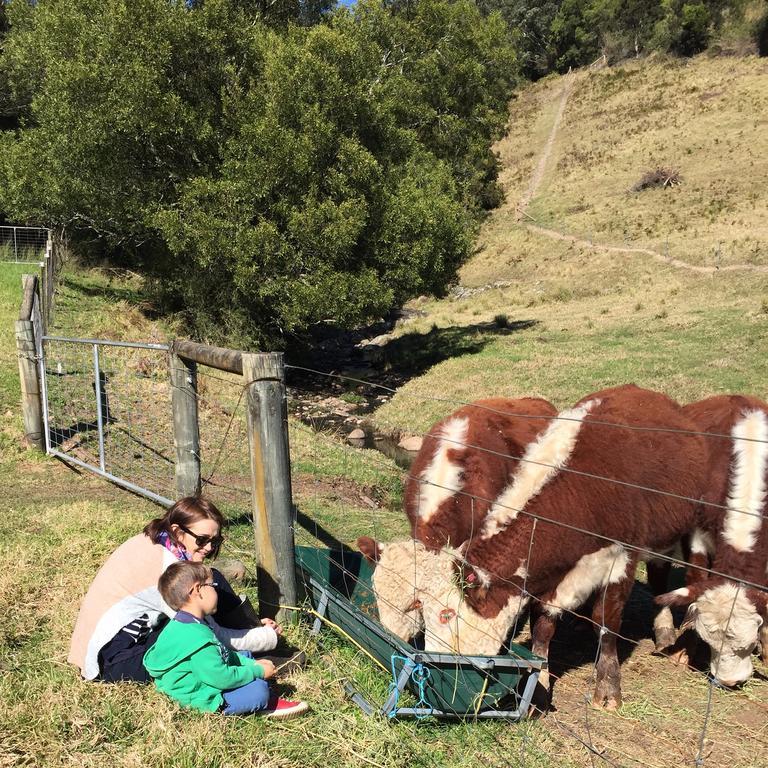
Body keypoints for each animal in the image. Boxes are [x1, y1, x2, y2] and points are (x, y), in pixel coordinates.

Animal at [656, 396, 768, 684]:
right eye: (708, 641)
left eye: (748, 642)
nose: (729, 682)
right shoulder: (696, 533)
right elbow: (695, 579)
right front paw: (685, 650)